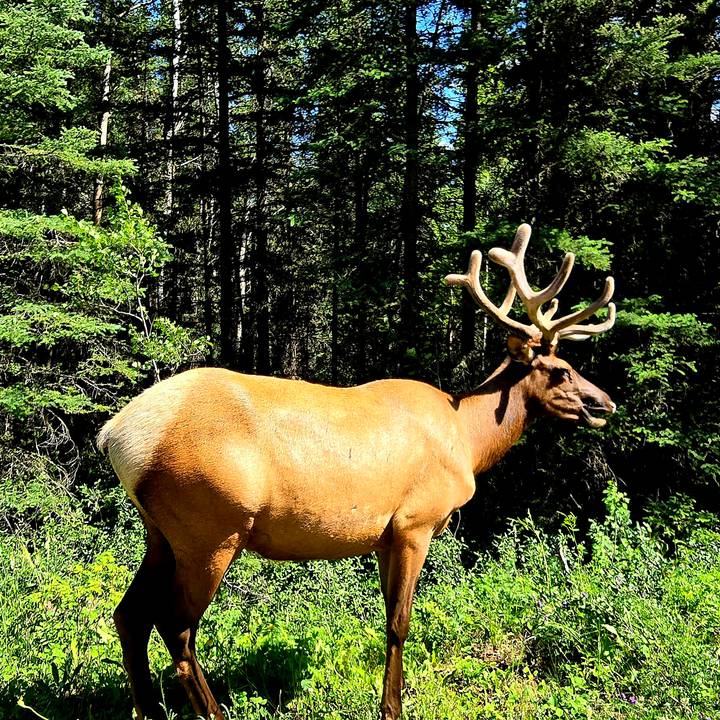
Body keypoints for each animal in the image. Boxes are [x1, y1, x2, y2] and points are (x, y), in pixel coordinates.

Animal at [98, 223, 616, 720]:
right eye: (559, 370)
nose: (604, 403)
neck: (468, 442)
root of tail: (115, 435)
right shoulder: (415, 523)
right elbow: (399, 622)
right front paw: (392, 709)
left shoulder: (384, 537)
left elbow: (388, 617)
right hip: (211, 528)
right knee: (176, 626)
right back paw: (212, 712)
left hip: (161, 532)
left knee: (129, 615)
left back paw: (148, 711)